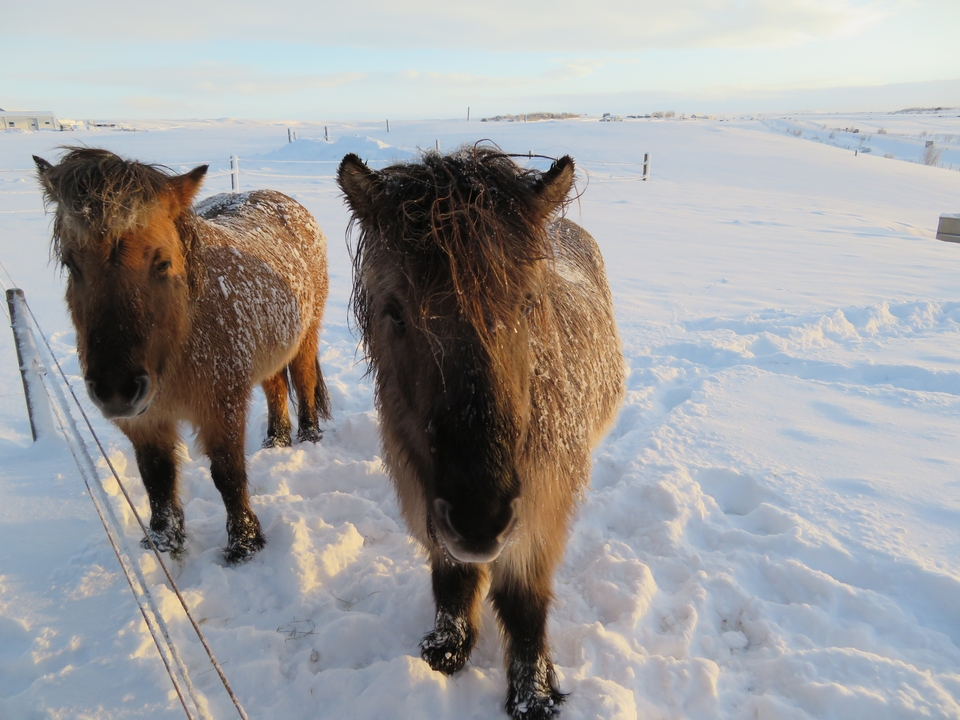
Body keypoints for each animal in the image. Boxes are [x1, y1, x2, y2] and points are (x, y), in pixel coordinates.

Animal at [34, 147, 331, 563]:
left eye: (162, 262)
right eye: (70, 264)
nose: (116, 389)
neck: (176, 348)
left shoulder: (221, 407)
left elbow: (227, 473)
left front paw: (244, 544)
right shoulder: (145, 420)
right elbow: (157, 478)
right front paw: (163, 542)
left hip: (306, 336)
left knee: (303, 382)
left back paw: (307, 438)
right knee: (274, 387)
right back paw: (276, 442)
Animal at [338, 146, 625, 719]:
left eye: (529, 303)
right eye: (395, 312)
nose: (479, 517)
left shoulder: (539, 509)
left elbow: (523, 602)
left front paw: (533, 694)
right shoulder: (424, 496)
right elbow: (453, 577)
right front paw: (447, 649)